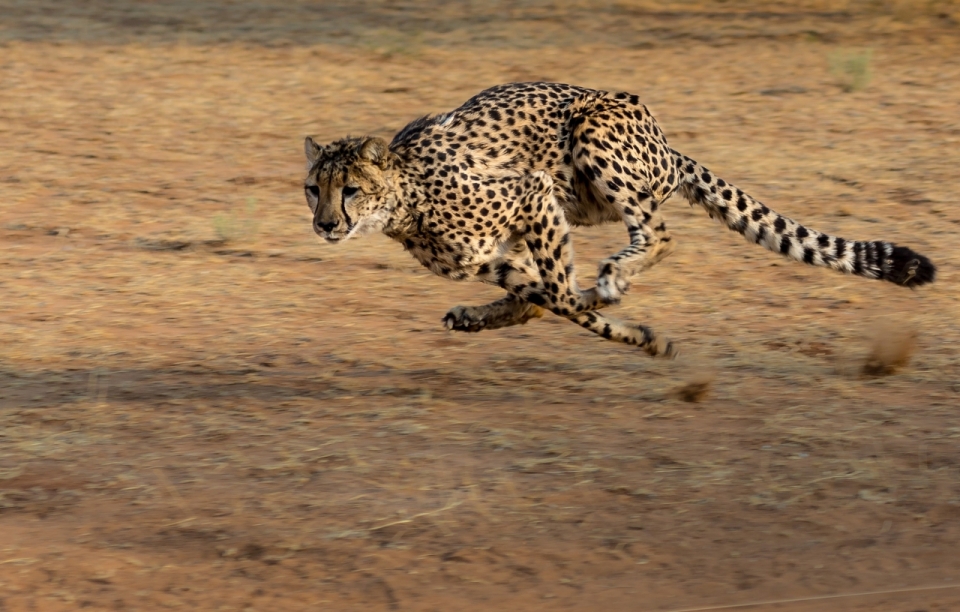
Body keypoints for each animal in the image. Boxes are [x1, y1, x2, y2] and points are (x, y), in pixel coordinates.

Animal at [306, 82, 936, 358]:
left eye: (351, 190)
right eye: (314, 189)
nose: (325, 225)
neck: (405, 199)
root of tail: (666, 142)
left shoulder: (532, 193)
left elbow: (561, 296)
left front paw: (633, 328)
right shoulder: (491, 256)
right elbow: (546, 298)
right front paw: (635, 332)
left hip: (592, 137)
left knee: (658, 233)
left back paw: (613, 277)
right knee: (544, 295)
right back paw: (486, 315)